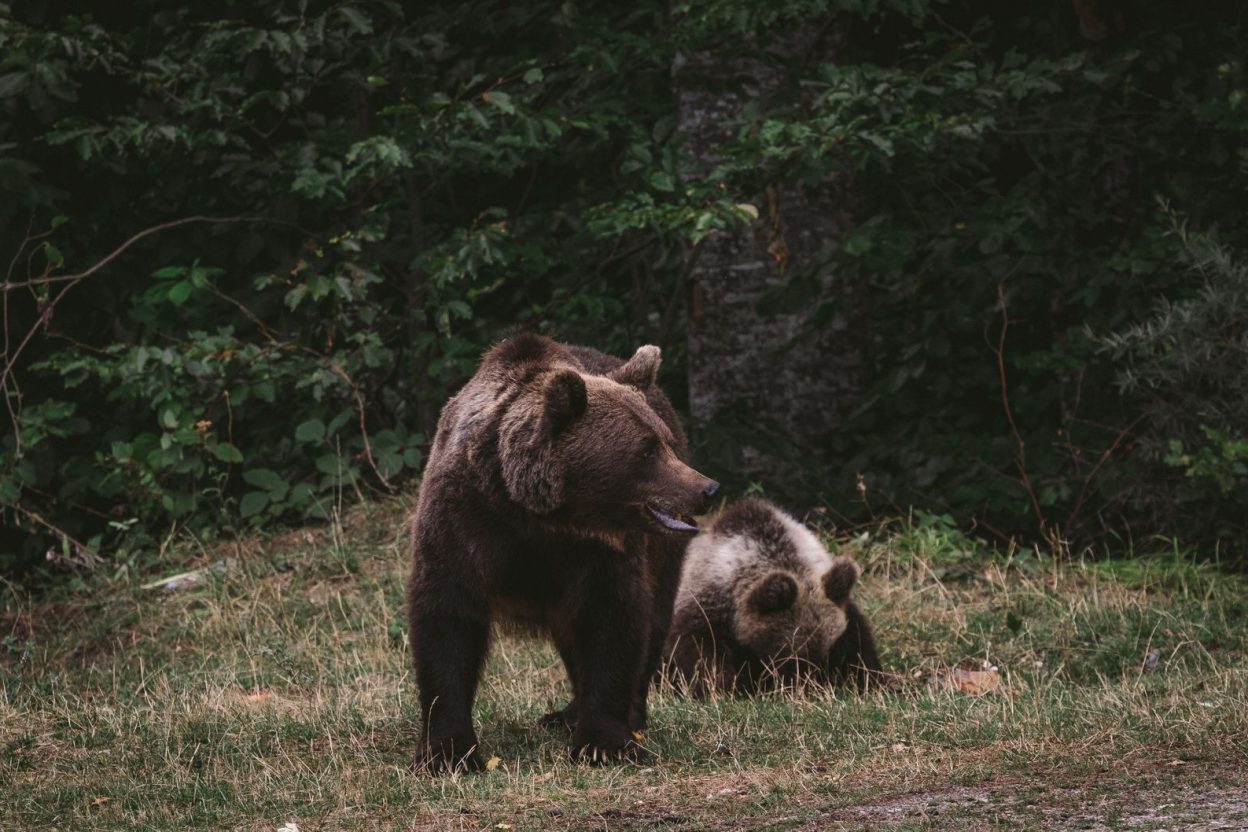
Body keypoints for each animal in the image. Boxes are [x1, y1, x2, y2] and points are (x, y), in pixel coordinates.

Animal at [406, 333, 719, 772]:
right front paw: (447, 753)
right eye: (646, 451)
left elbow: (612, 621)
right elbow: (446, 620)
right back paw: (566, 714)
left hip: (663, 554)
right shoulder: (464, 523)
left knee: (652, 618)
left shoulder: (597, 552)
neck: (537, 514)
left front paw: (605, 742)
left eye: (666, 444)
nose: (707, 489)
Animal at [664, 497, 881, 695]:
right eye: (791, 658)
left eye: (829, 651)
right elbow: (702, 651)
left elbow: (860, 646)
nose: (811, 687)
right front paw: (722, 688)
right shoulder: (707, 605)